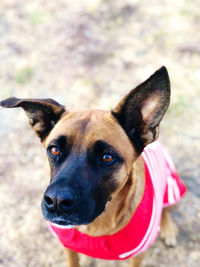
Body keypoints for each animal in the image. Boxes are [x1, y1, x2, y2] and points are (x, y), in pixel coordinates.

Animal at [0, 66, 187, 266]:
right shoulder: (69, 247)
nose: (57, 201)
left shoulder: (137, 256)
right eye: (54, 150)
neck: (97, 226)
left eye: (107, 157)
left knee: (166, 210)